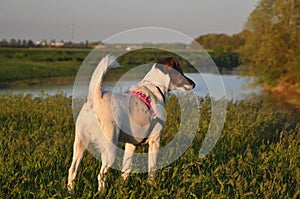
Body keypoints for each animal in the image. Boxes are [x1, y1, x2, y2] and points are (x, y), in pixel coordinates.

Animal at [67, 54, 196, 191]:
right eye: (180, 70)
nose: (194, 84)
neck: (155, 87)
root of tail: (96, 98)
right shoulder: (155, 141)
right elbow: (152, 170)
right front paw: (151, 187)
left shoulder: (131, 144)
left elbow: (126, 169)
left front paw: (122, 188)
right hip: (109, 148)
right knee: (100, 175)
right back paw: (102, 192)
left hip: (80, 144)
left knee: (72, 170)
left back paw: (71, 191)